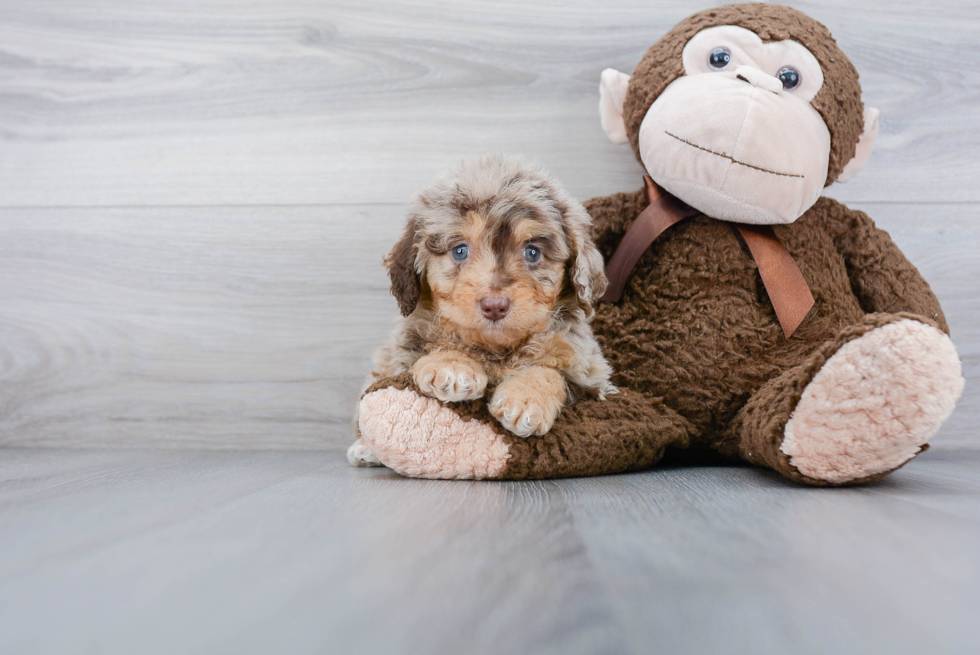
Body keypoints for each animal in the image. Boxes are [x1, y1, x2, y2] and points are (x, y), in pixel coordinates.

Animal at [348, 156, 616, 468]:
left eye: (532, 252)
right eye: (460, 250)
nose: (495, 305)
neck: (496, 350)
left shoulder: (590, 374)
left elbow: (550, 370)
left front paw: (526, 397)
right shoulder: (404, 352)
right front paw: (452, 365)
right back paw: (364, 449)